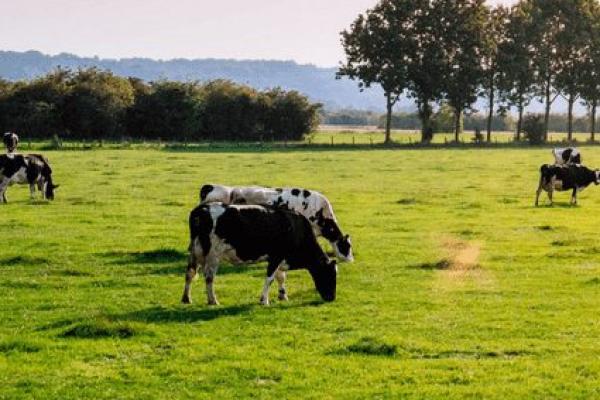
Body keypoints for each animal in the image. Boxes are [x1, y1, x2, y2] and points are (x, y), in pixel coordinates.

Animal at [178, 203, 338, 306]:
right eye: (330, 275)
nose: (332, 298)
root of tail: (201, 209)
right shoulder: (276, 256)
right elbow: (270, 279)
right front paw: (264, 300)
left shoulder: (279, 259)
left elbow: (280, 277)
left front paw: (283, 295)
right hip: (213, 254)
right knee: (209, 277)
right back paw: (213, 300)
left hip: (195, 252)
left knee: (189, 273)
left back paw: (186, 298)